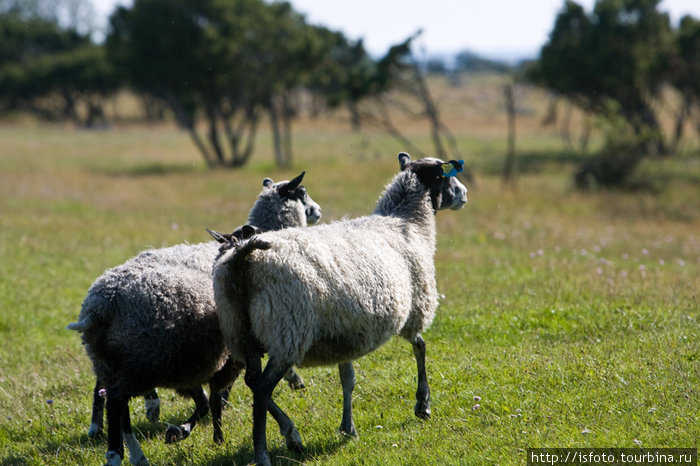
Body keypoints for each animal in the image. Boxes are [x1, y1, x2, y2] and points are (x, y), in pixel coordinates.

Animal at [67, 172, 318, 466]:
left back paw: (118, 441)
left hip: (110, 361)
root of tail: (99, 307)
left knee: (110, 397)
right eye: (302, 192)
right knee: (117, 400)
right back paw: (125, 440)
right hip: (146, 358)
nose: (317, 211)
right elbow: (250, 386)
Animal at [211, 154, 468, 466]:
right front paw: (423, 404)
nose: (464, 194)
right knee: (261, 390)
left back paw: (292, 435)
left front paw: (348, 428)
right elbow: (420, 347)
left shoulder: (347, 330)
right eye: (445, 176)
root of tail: (244, 257)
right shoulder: (415, 307)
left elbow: (348, 380)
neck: (407, 222)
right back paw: (264, 453)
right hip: (287, 331)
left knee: (252, 381)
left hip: (242, 332)